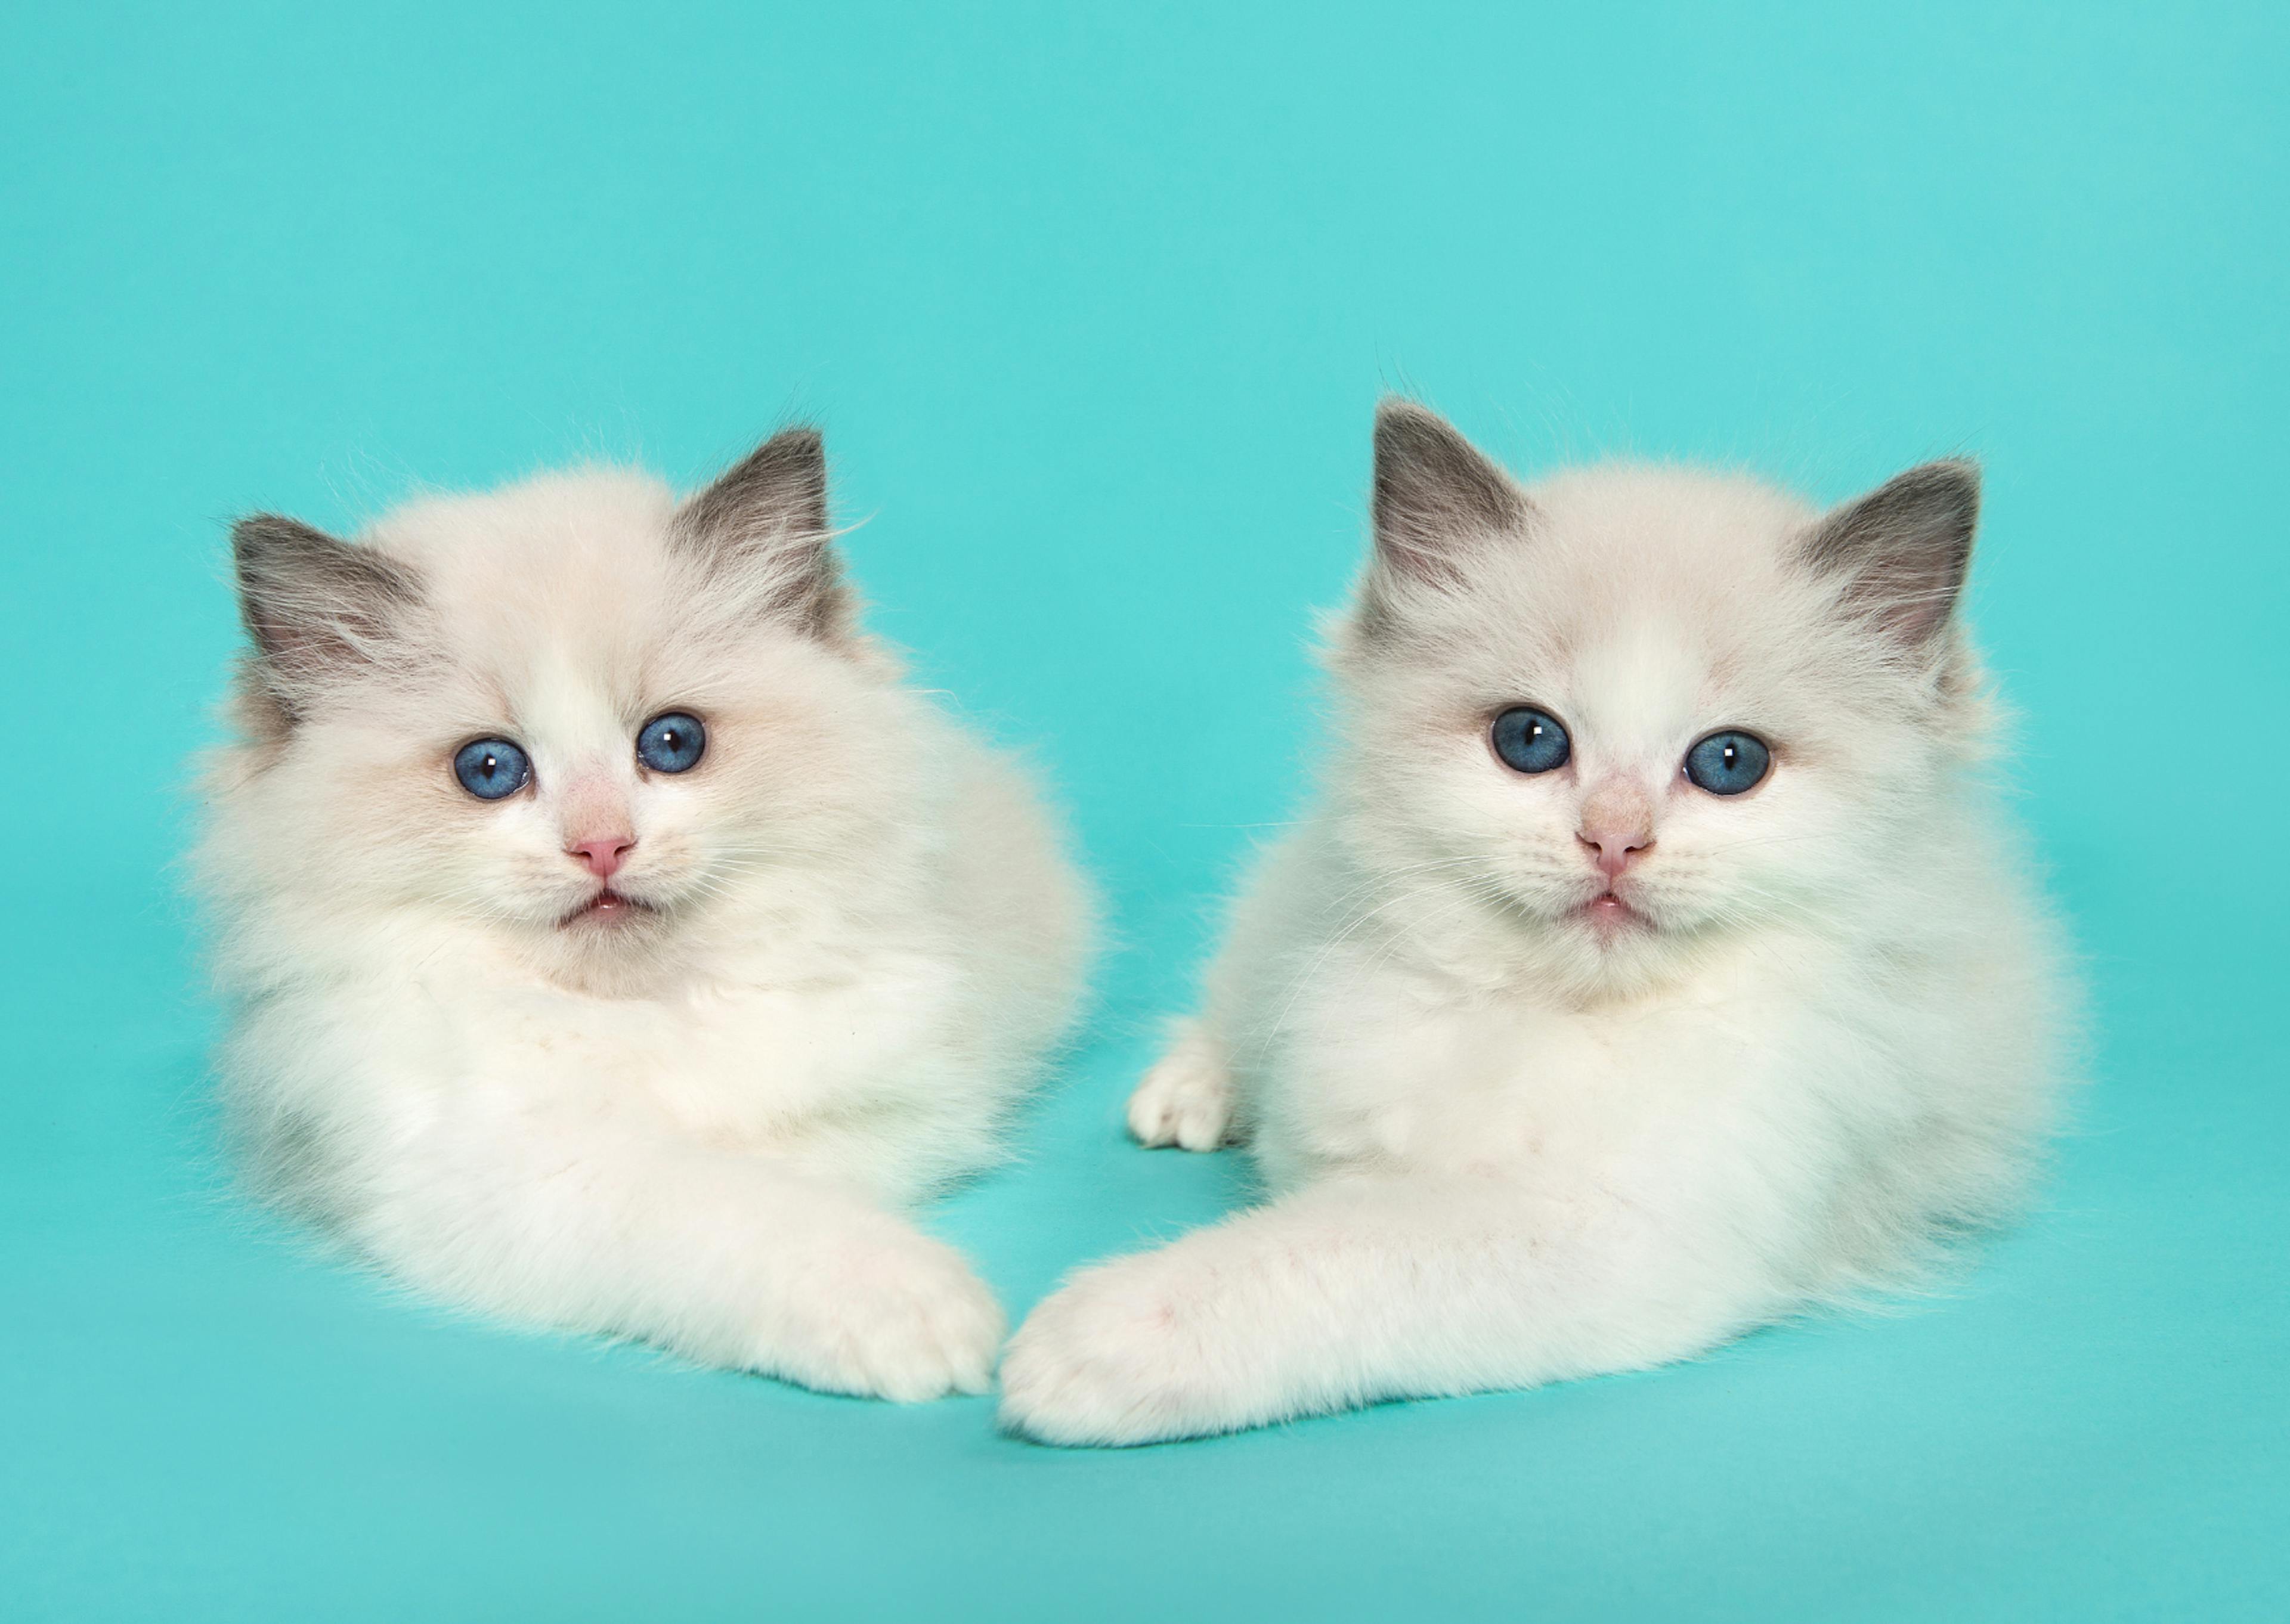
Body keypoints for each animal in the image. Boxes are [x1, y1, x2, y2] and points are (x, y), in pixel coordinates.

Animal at [194, 428, 1090, 1392]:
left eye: (672, 743)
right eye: (489, 769)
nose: (602, 847)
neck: (640, 1010)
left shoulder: (899, 1100)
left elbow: (798, 1164)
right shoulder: (490, 1171)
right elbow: (727, 1205)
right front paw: (910, 1308)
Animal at [1002, 398, 2079, 1438]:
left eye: (1730, 762)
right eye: (1530, 740)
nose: (1613, 842)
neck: (1546, 1012)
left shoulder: (1621, 1233)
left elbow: (1330, 1254)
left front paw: (1099, 1338)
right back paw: (1190, 1091)